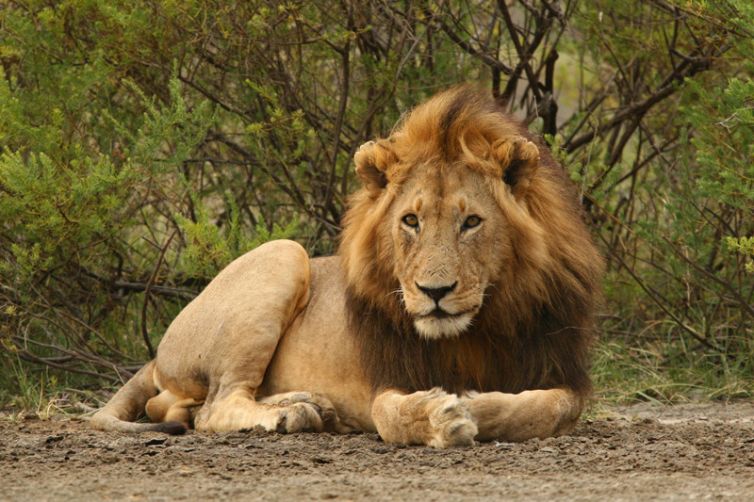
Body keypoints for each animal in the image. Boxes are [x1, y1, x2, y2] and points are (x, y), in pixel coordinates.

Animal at [91, 86, 604, 447]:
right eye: (411, 220)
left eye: (472, 222)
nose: (434, 292)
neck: (477, 328)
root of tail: (158, 352)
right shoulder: (390, 378)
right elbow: (392, 416)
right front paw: (441, 413)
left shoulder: (563, 372)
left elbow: (543, 409)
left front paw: (471, 405)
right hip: (283, 254)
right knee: (211, 407)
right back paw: (291, 414)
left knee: (175, 410)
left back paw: (312, 405)